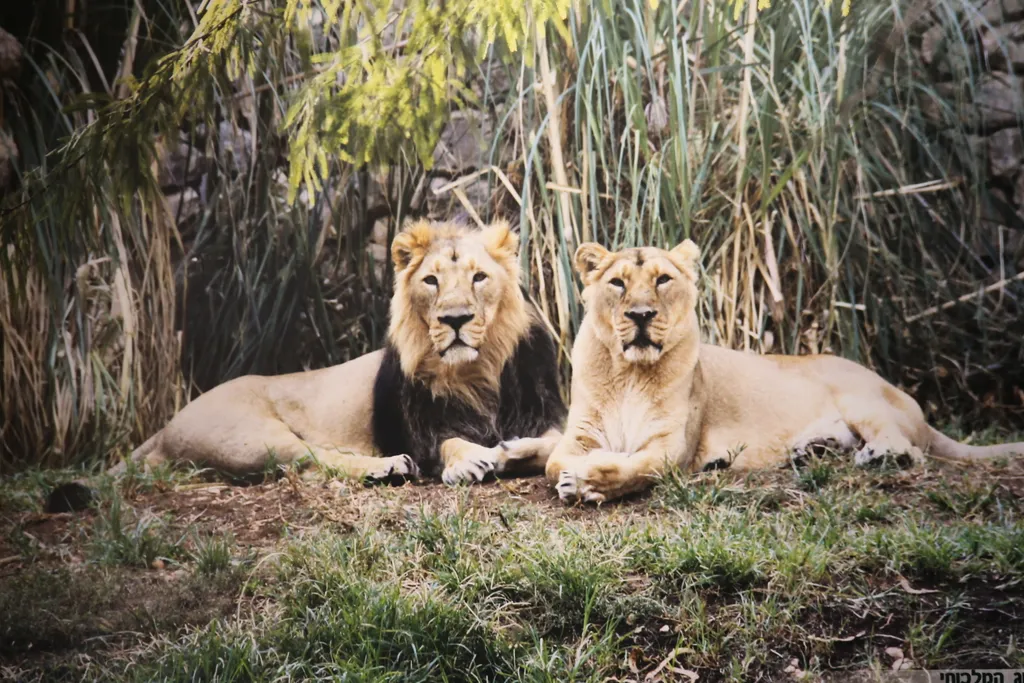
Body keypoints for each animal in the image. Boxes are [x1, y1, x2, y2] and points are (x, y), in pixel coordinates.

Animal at [113, 220, 565, 487]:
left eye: (479, 277)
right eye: (431, 281)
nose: (455, 319)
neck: (475, 373)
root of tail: (168, 425)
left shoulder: (545, 415)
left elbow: (554, 444)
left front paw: (511, 450)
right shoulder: (420, 433)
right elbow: (449, 443)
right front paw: (469, 460)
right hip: (249, 437)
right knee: (312, 458)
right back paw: (387, 467)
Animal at [545, 240, 1024, 504]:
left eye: (663, 280)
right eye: (618, 283)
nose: (641, 314)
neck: (631, 373)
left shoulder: (673, 447)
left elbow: (637, 468)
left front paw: (589, 482)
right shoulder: (578, 435)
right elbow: (555, 463)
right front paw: (577, 474)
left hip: (861, 397)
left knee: (908, 447)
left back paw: (879, 454)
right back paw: (812, 450)